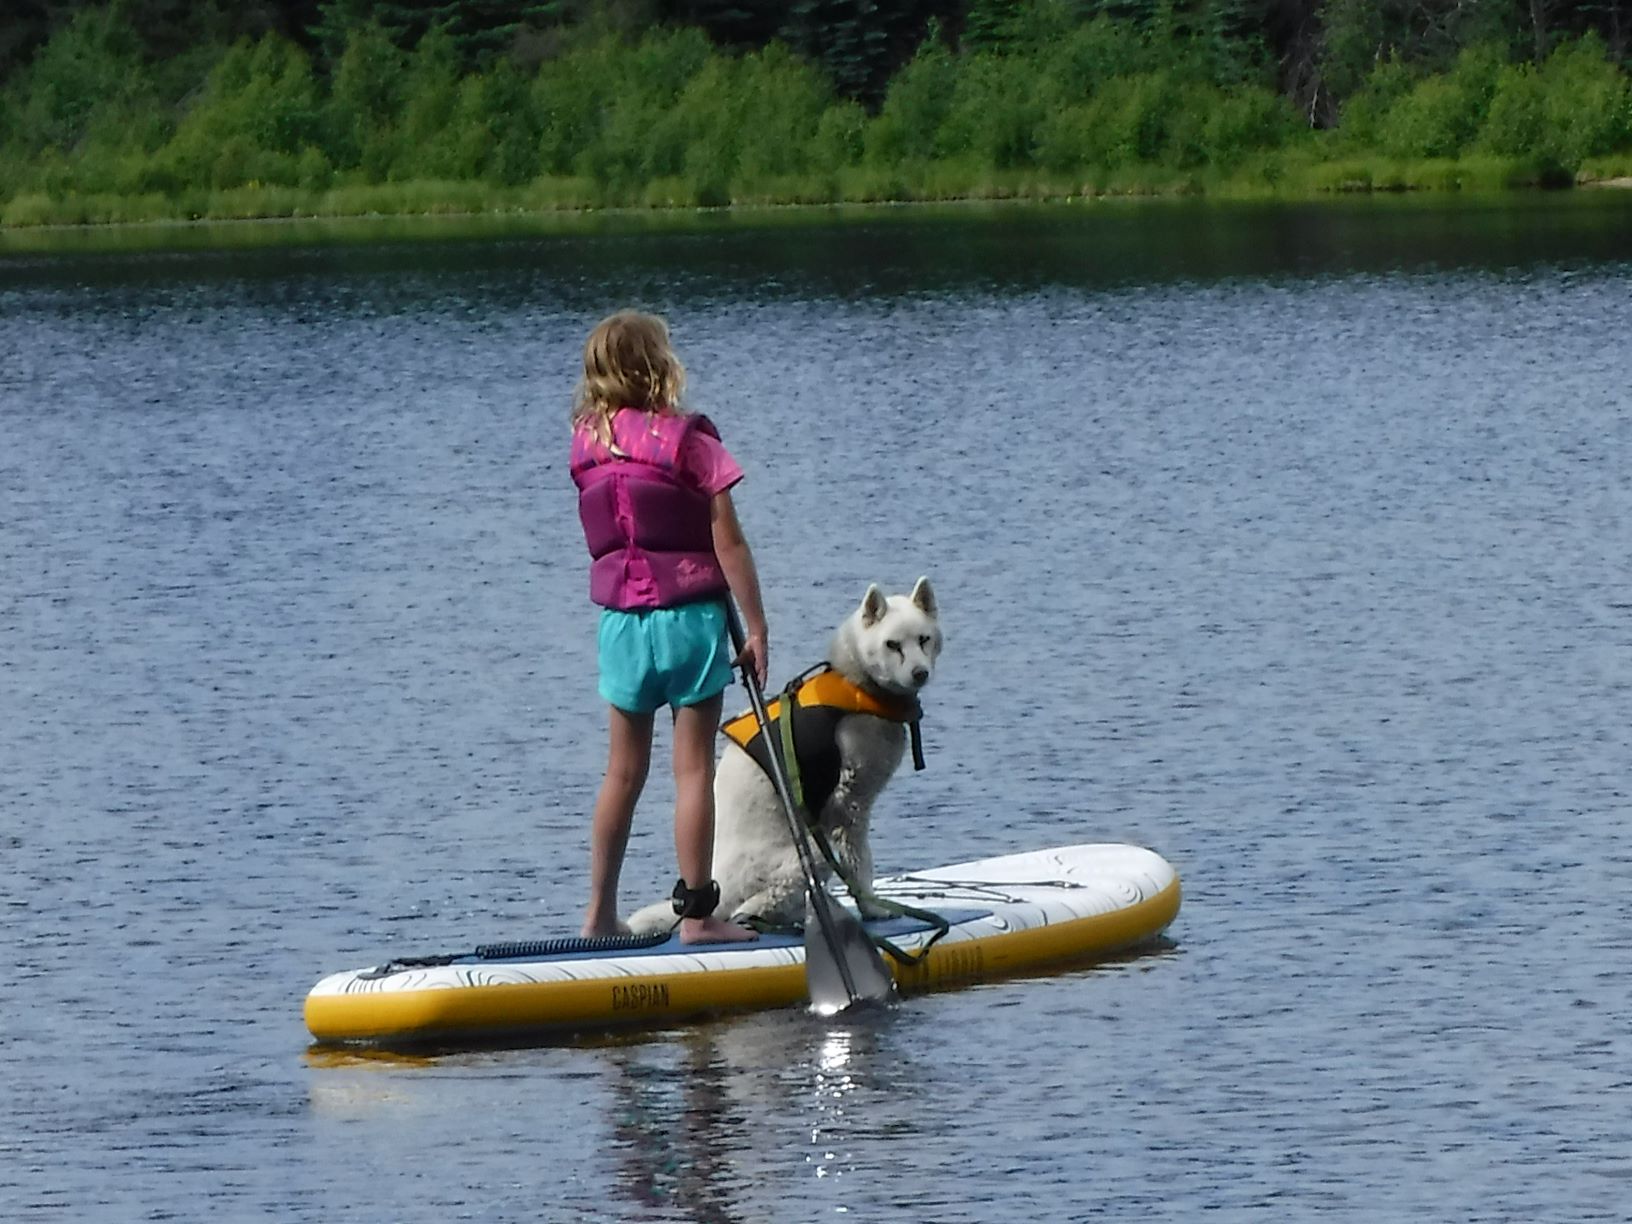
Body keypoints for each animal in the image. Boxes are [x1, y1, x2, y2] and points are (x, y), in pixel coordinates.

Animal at [633, 580, 953, 933]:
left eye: (923, 639)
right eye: (892, 644)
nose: (920, 673)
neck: (858, 685)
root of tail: (718, 888)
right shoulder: (849, 804)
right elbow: (859, 863)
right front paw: (874, 909)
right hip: (809, 855)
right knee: (746, 909)